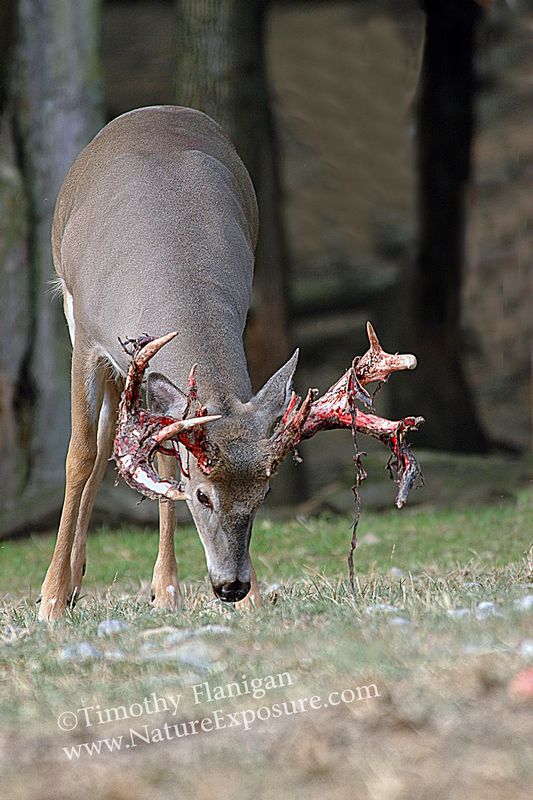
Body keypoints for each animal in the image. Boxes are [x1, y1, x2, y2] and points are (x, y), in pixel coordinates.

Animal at [38, 105, 423, 622]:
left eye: (264, 494)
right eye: (203, 494)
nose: (232, 586)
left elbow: (163, 463)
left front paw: (234, 596)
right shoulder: (88, 340)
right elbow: (78, 455)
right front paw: (51, 599)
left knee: (150, 457)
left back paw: (151, 587)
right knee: (101, 446)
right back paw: (73, 584)